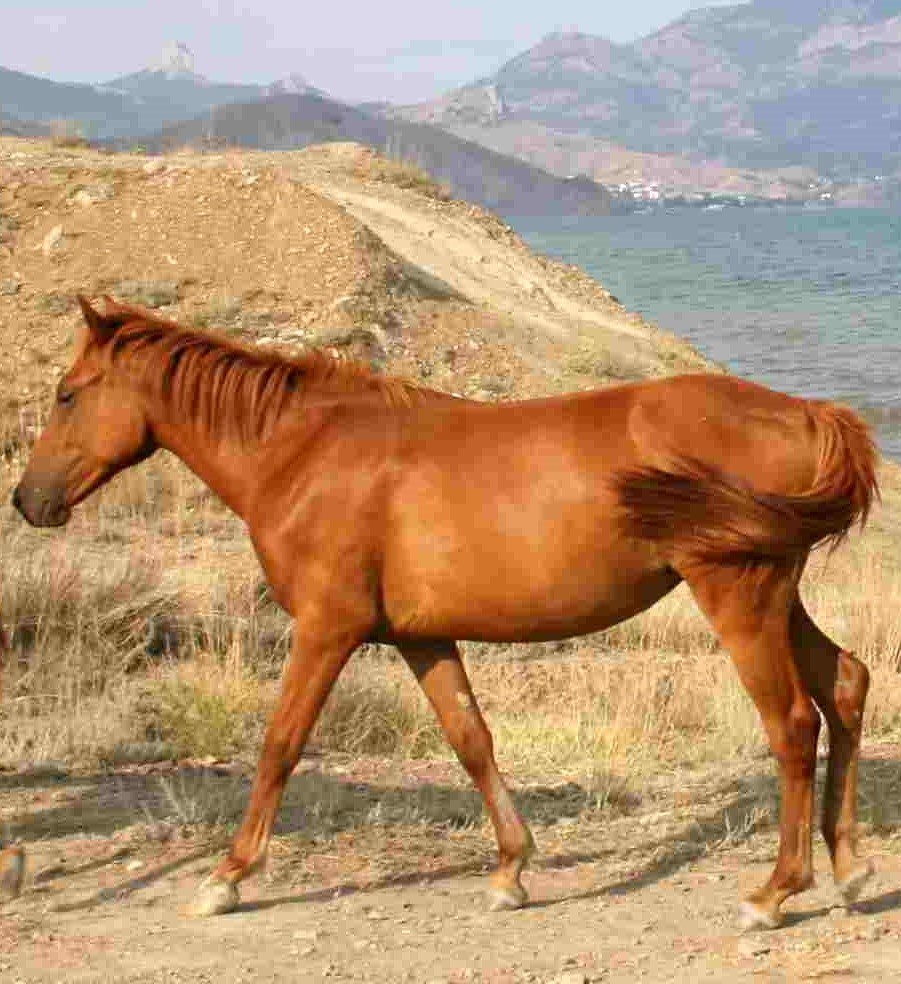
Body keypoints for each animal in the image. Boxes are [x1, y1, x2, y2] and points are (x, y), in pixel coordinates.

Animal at [12, 296, 880, 928]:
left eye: (67, 394)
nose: (28, 500)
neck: (304, 452)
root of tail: (804, 414)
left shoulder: (326, 630)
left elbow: (280, 744)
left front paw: (228, 875)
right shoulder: (423, 638)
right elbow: (471, 742)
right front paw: (510, 871)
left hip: (737, 593)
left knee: (791, 724)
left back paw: (775, 891)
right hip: (776, 596)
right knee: (844, 684)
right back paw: (847, 869)